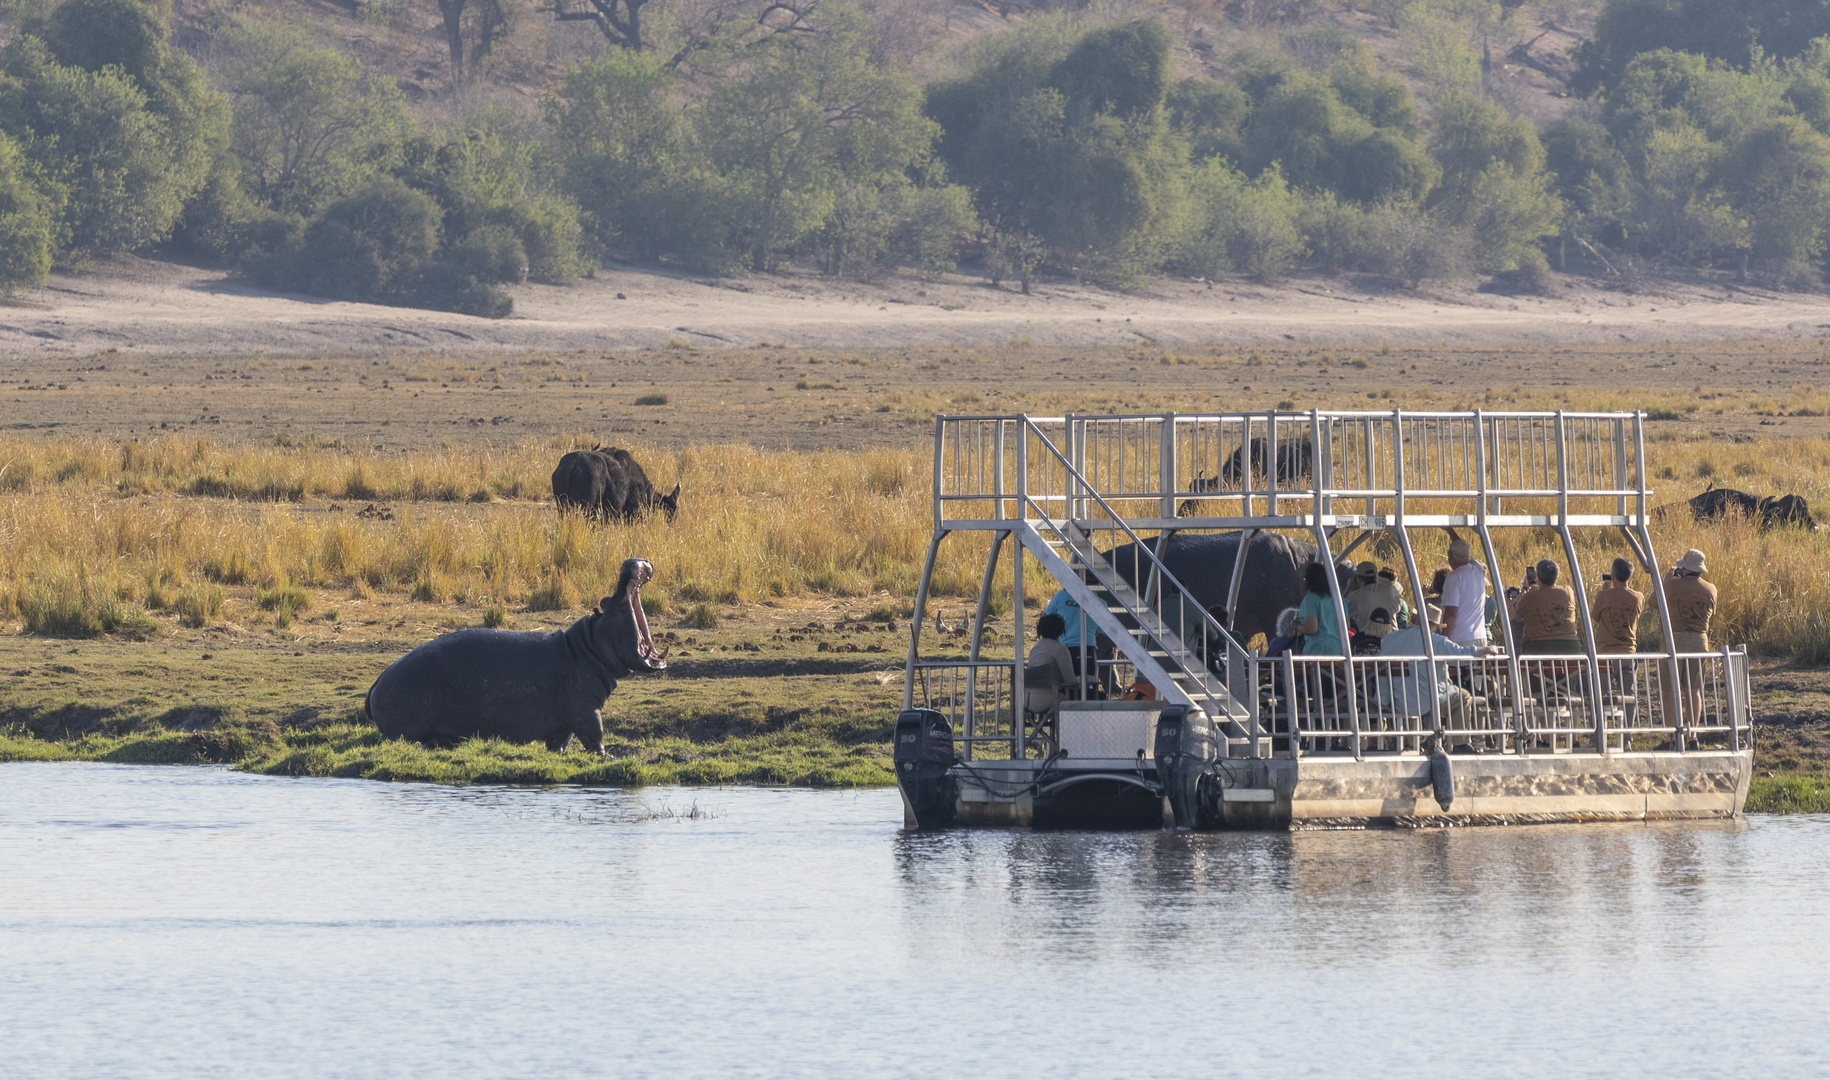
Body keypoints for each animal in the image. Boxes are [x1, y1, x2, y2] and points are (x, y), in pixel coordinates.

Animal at [360, 560, 669, 754]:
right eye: (608, 600)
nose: (631, 562)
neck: (589, 646)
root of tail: (377, 681)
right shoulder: (587, 710)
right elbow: (596, 736)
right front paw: (608, 756)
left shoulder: (566, 721)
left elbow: (561, 742)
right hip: (400, 731)